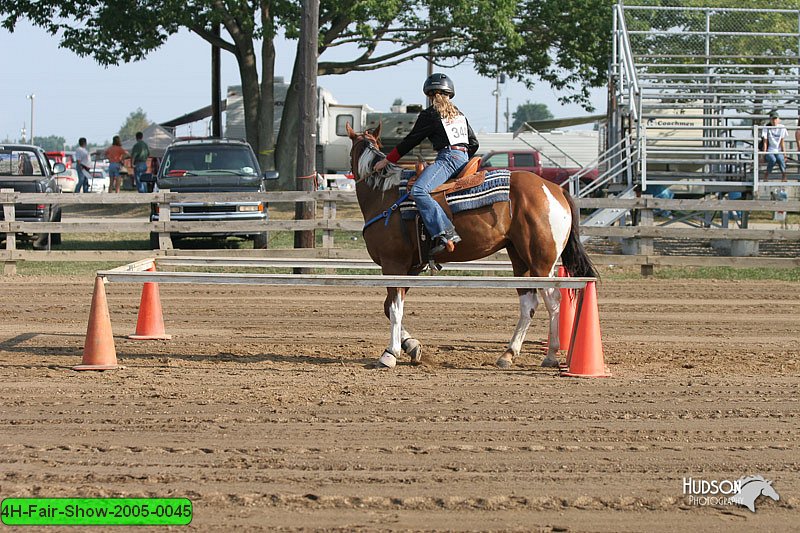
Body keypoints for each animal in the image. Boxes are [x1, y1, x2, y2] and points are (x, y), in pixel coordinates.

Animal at [346, 122, 596, 368]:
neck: (384, 194)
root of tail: (555, 189)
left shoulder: (394, 264)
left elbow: (395, 308)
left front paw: (390, 353)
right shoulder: (411, 267)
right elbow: (389, 307)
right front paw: (413, 347)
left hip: (541, 263)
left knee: (553, 301)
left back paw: (551, 354)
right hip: (520, 258)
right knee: (529, 303)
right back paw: (508, 354)